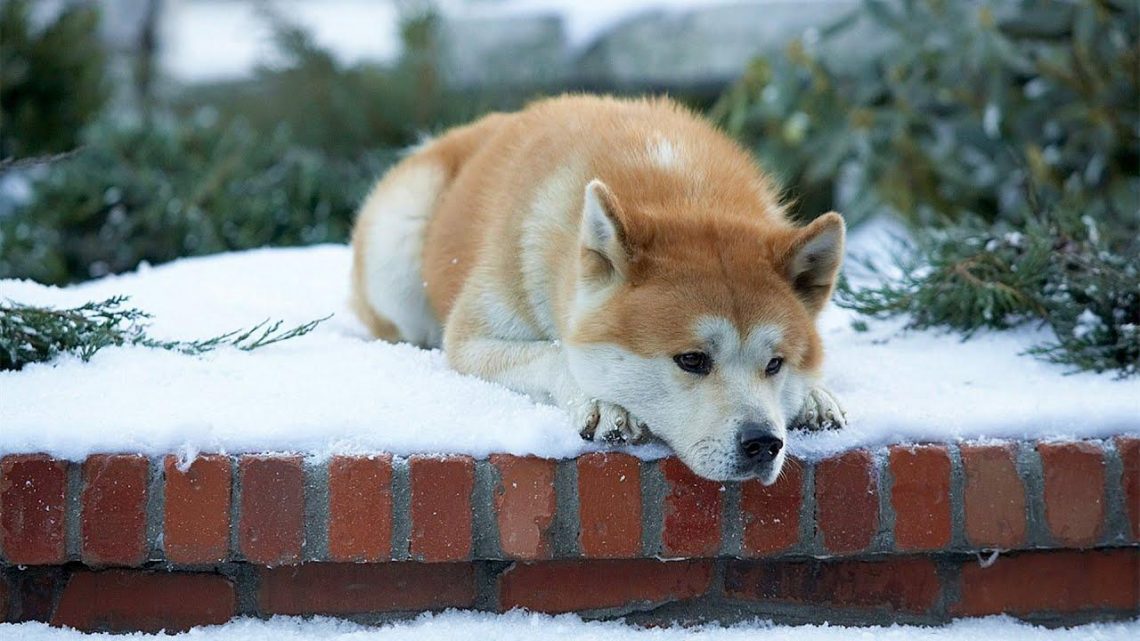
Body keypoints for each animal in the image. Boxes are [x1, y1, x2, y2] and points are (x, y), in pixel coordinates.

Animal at [348, 94, 848, 479]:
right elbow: (553, 354)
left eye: (775, 364)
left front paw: (814, 397)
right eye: (692, 360)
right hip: (399, 242)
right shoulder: (470, 340)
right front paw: (604, 403)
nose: (764, 443)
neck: (683, 193)